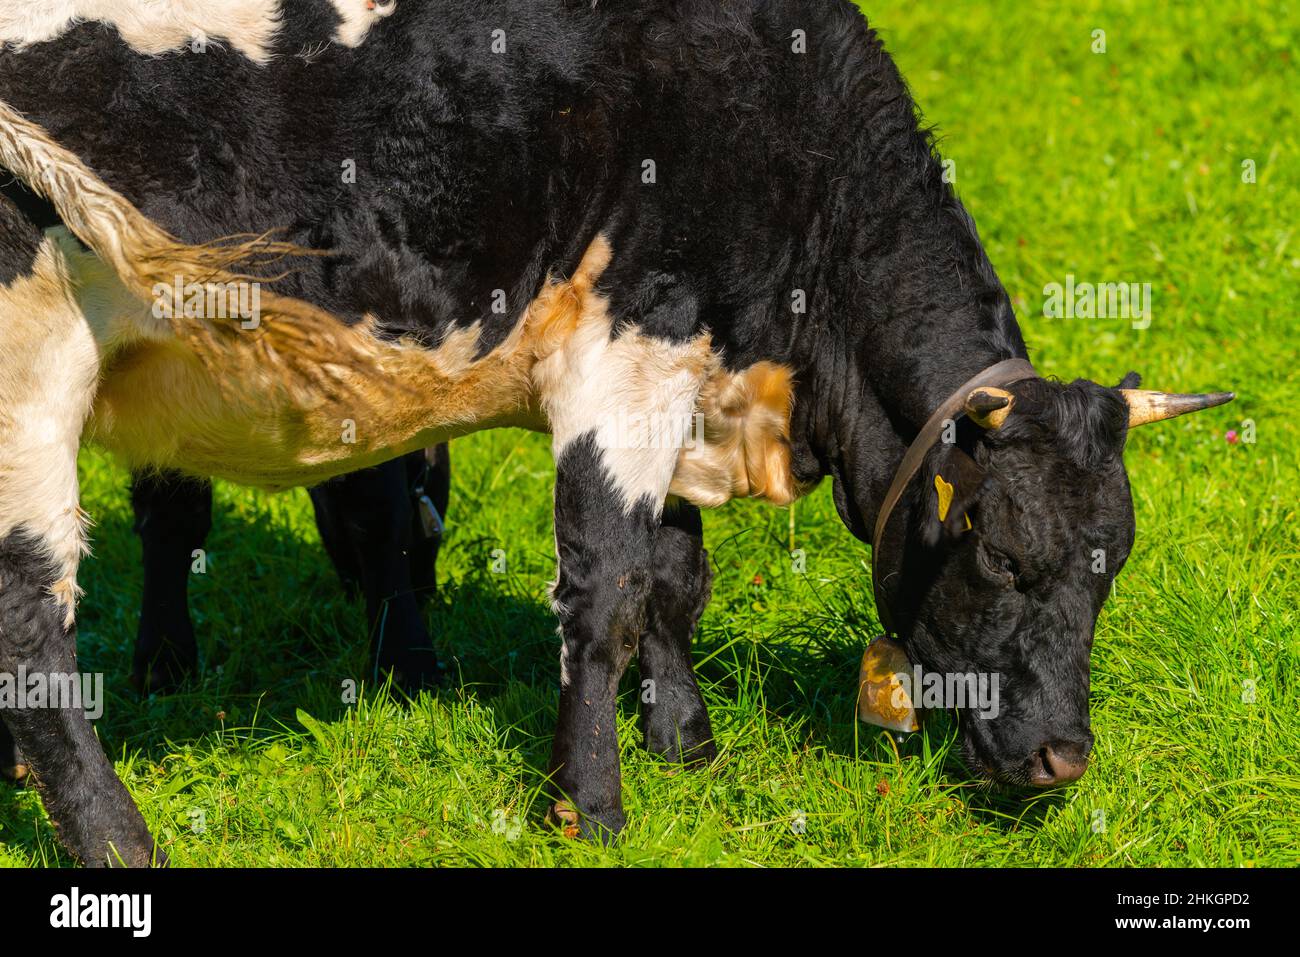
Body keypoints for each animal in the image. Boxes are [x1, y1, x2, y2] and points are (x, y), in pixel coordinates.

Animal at [0, 0, 1227, 868]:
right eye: (1002, 557)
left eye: (1109, 566)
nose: (1063, 758)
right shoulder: (628, 351)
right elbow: (606, 591)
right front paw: (589, 806)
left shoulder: (684, 379)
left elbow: (675, 577)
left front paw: (684, 742)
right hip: (33, 378)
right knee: (32, 630)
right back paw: (117, 839)